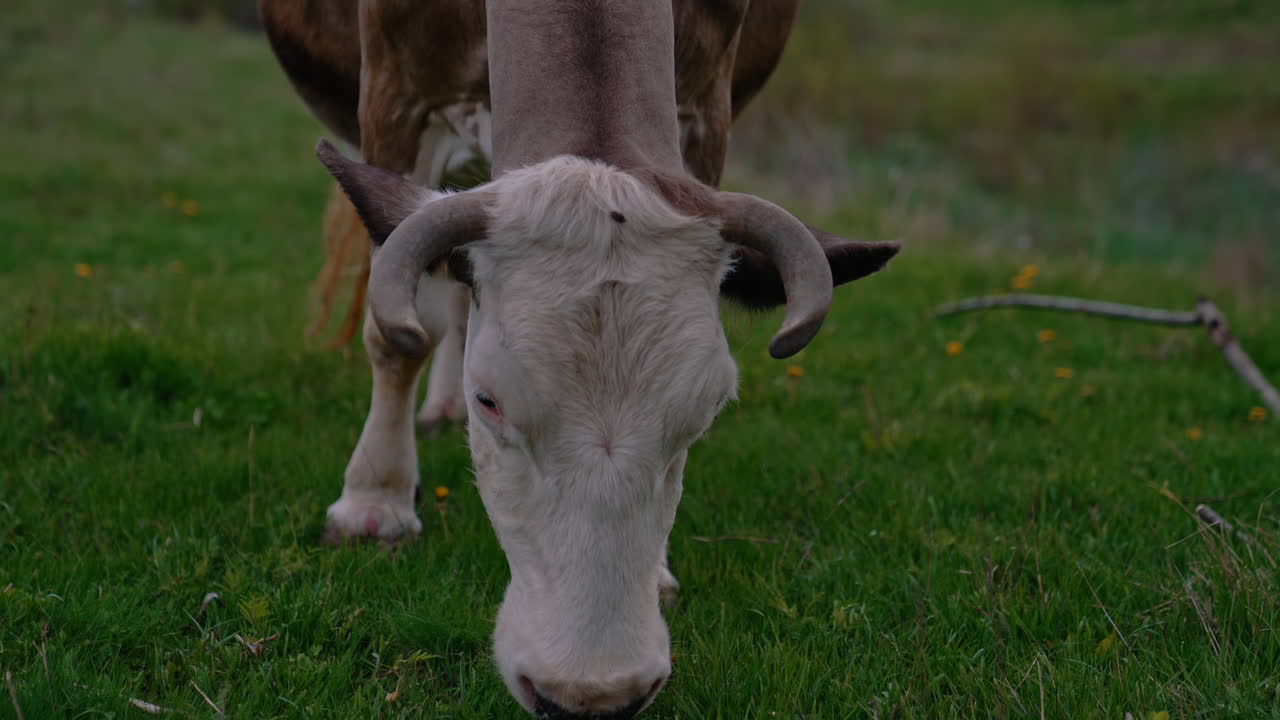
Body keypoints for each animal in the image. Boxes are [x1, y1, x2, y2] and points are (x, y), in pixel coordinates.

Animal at [260, 1, 899, 716]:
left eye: (705, 414)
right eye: (490, 401)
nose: (593, 697)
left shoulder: (708, 110)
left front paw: (657, 571)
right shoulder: (397, 93)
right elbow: (395, 336)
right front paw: (375, 501)